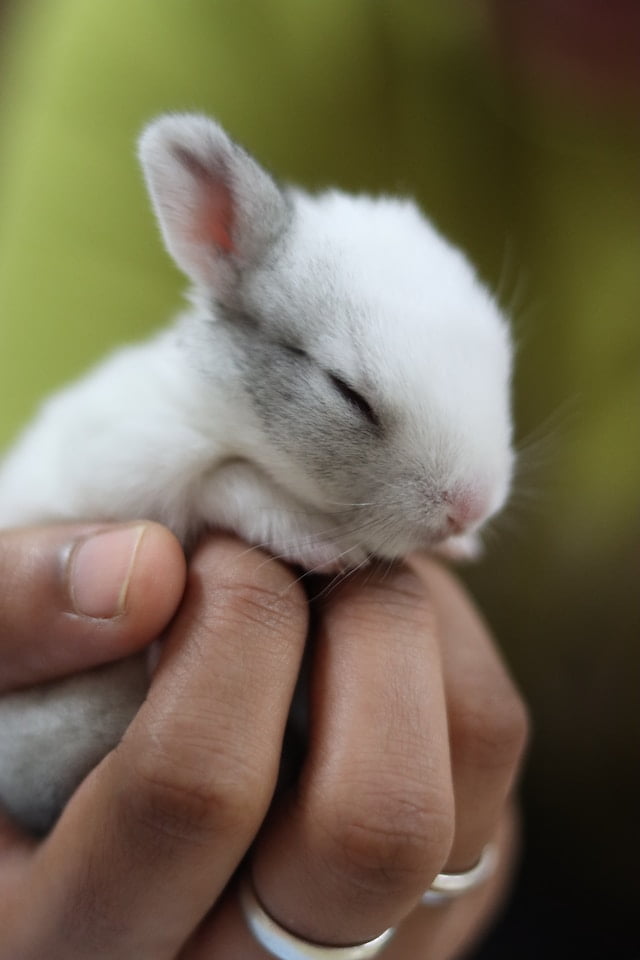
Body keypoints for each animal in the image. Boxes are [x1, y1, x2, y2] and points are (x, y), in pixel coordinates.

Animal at [0, 114, 516, 832]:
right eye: (347, 393)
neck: (232, 414)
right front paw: (324, 543)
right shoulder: (134, 463)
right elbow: (225, 482)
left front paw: (461, 546)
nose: (470, 504)